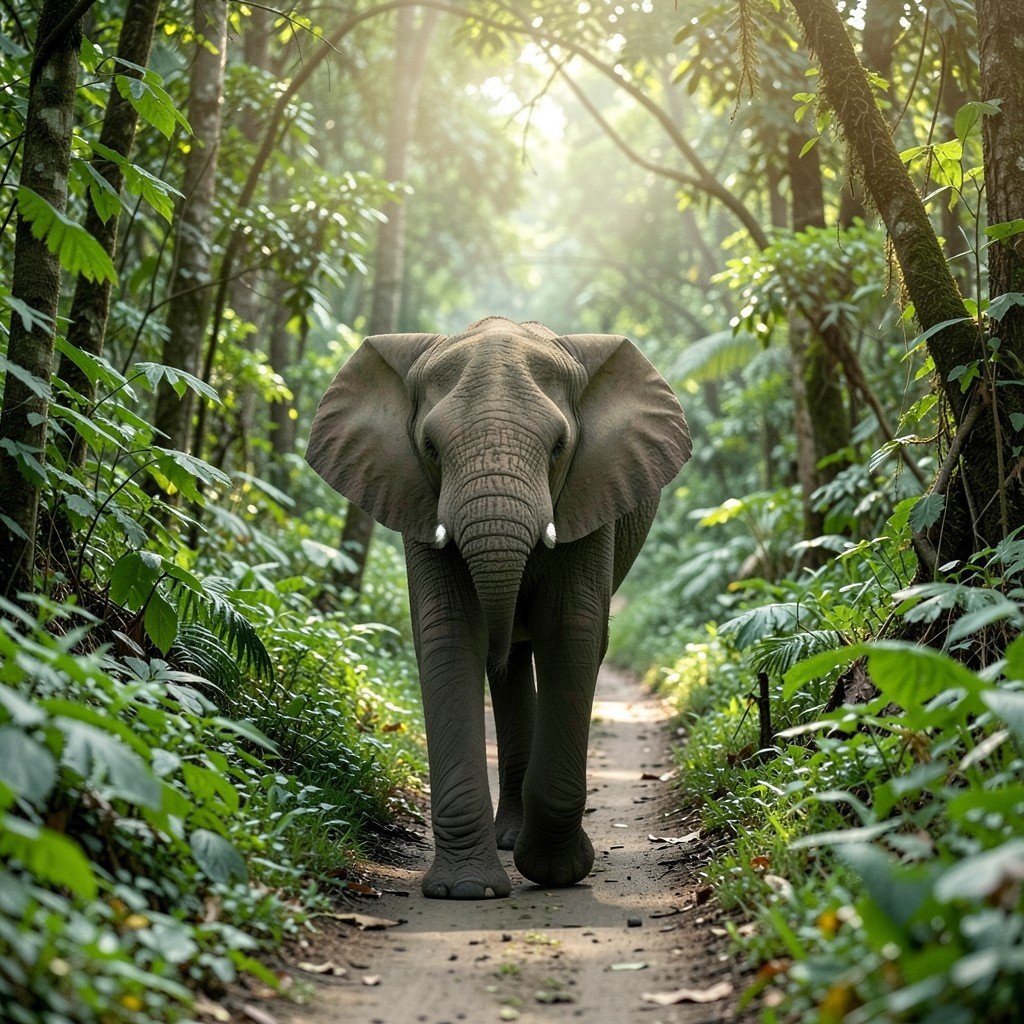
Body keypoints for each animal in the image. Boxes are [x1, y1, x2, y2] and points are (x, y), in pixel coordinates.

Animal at [305, 316, 690, 899]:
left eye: (558, 447)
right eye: (431, 448)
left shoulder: (588, 497)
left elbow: (572, 632)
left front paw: (556, 874)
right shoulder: (417, 498)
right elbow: (447, 633)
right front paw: (467, 891)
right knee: (505, 666)